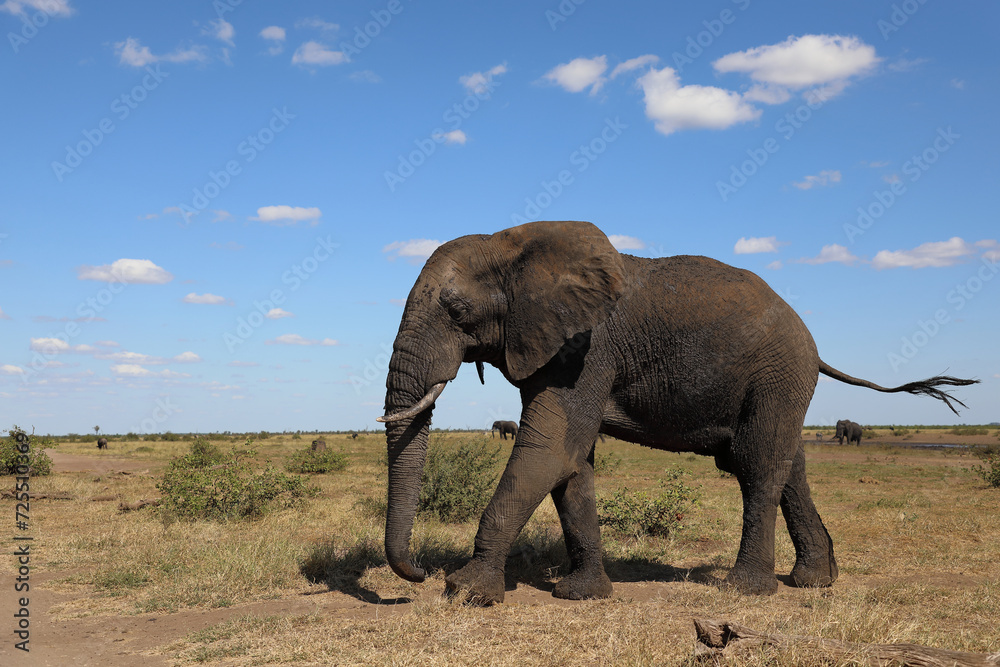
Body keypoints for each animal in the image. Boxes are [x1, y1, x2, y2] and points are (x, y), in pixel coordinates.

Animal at [377, 220, 976, 604]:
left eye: (457, 311)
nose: (419, 573)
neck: (515, 244)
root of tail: (811, 340)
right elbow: (573, 462)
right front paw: (583, 596)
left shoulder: (588, 348)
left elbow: (549, 452)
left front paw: (466, 592)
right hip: (779, 384)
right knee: (788, 465)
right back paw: (815, 583)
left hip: (778, 373)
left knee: (757, 465)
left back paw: (746, 590)